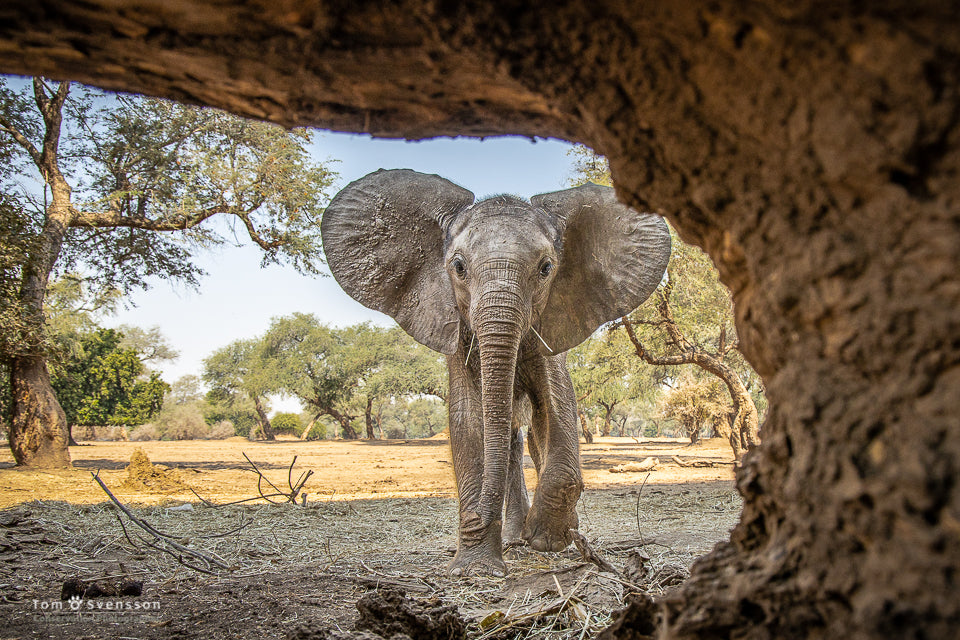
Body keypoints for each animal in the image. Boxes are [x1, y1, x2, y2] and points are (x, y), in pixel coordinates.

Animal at [322, 169, 668, 576]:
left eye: (546, 269)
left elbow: (556, 408)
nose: (477, 521)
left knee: (529, 436)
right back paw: (513, 537)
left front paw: (546, 538)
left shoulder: (550, 333)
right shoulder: (458, 333)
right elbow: (468, 420)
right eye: (458, 267)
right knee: (511, 441)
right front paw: (475, 569)